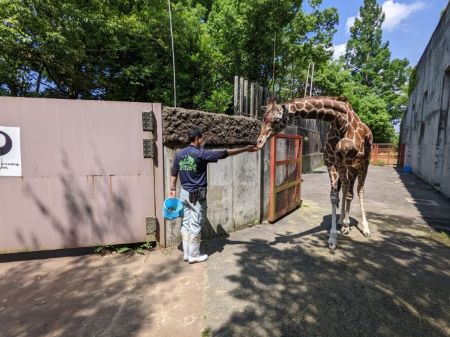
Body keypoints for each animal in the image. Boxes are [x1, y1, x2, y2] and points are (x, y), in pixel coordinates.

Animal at [256, 96, 372, 248]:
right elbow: (334, 197)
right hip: (346, 167)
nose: (259, 142)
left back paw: (364, 228)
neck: (340, 122)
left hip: (363, 163)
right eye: (264, 117)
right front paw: (333, 238)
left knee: (358, 190)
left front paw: (343, 231)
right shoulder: (333, 162)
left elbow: (353, 193)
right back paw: (342, 222)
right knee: (347, 189)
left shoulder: (353, 162)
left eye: (276, 119)